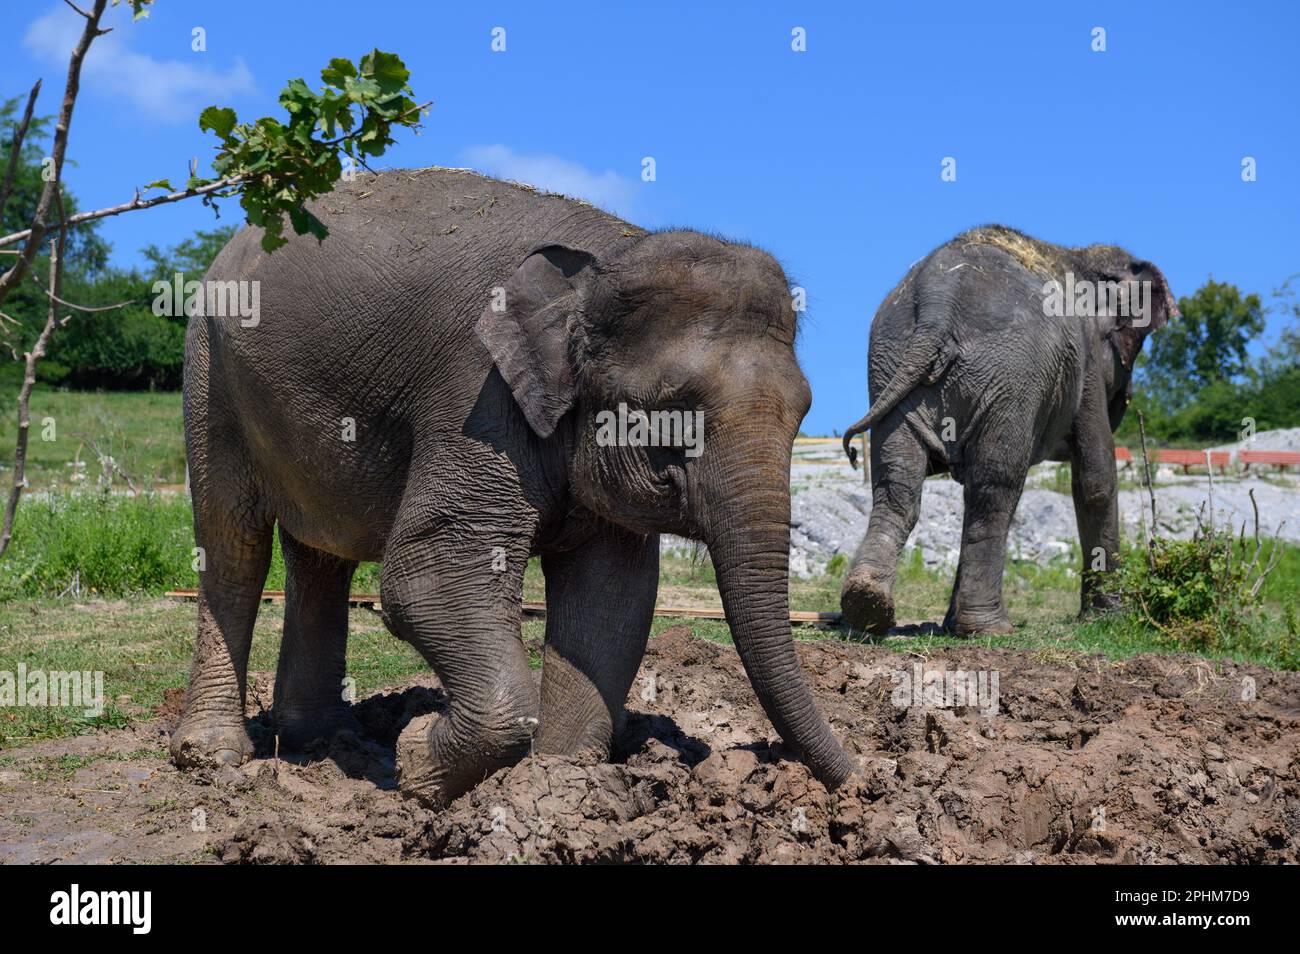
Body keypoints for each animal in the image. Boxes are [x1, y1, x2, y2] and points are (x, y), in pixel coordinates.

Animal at [172, 166, 857, 805]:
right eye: (673, 410)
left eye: (804, 409)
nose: (860, 778)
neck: (600, 262)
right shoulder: (476, 392)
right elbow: (429, 571)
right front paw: (418, 765)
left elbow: (612, 596)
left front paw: (553, 781)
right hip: (209, 369)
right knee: (233, 545)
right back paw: (214, 756)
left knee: (319, 557)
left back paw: (321, 738)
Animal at [837, 227, 1185, 639]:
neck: (1080, 257)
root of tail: (937, 302)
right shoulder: (1084, 360)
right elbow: (1095, 476)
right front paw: (1110, 618)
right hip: (1013, 375)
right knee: (995, 486)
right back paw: (990, 628)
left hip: (890, 363)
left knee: (899, 484)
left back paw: (867, 603)